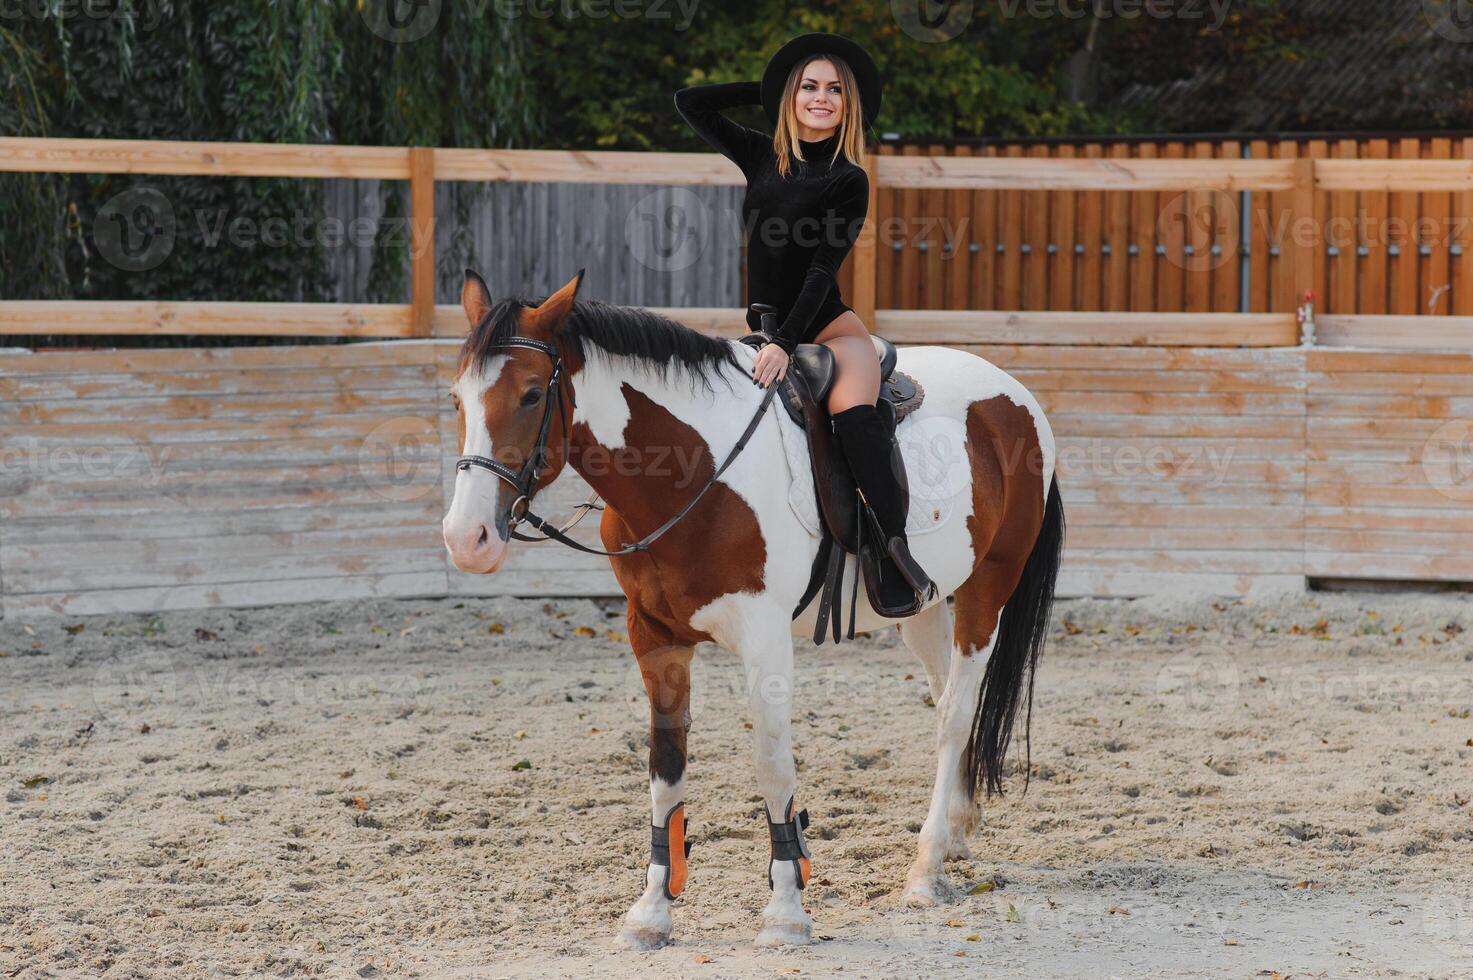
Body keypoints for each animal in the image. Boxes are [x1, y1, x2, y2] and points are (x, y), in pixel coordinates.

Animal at [441, 268, 1066, 949]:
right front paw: (652, 912)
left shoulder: (766, 639)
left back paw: (927, 870)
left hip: (988, 589)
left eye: (531, 395)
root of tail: (1016, 396)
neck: (696, 470)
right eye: (457, 399)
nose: (467, 538)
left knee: (954, 714)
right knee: (948, 693)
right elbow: (665, 766)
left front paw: (787, 908)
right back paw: (953, 832)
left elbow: (771, 764)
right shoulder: (653, 637)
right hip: (920, 607)